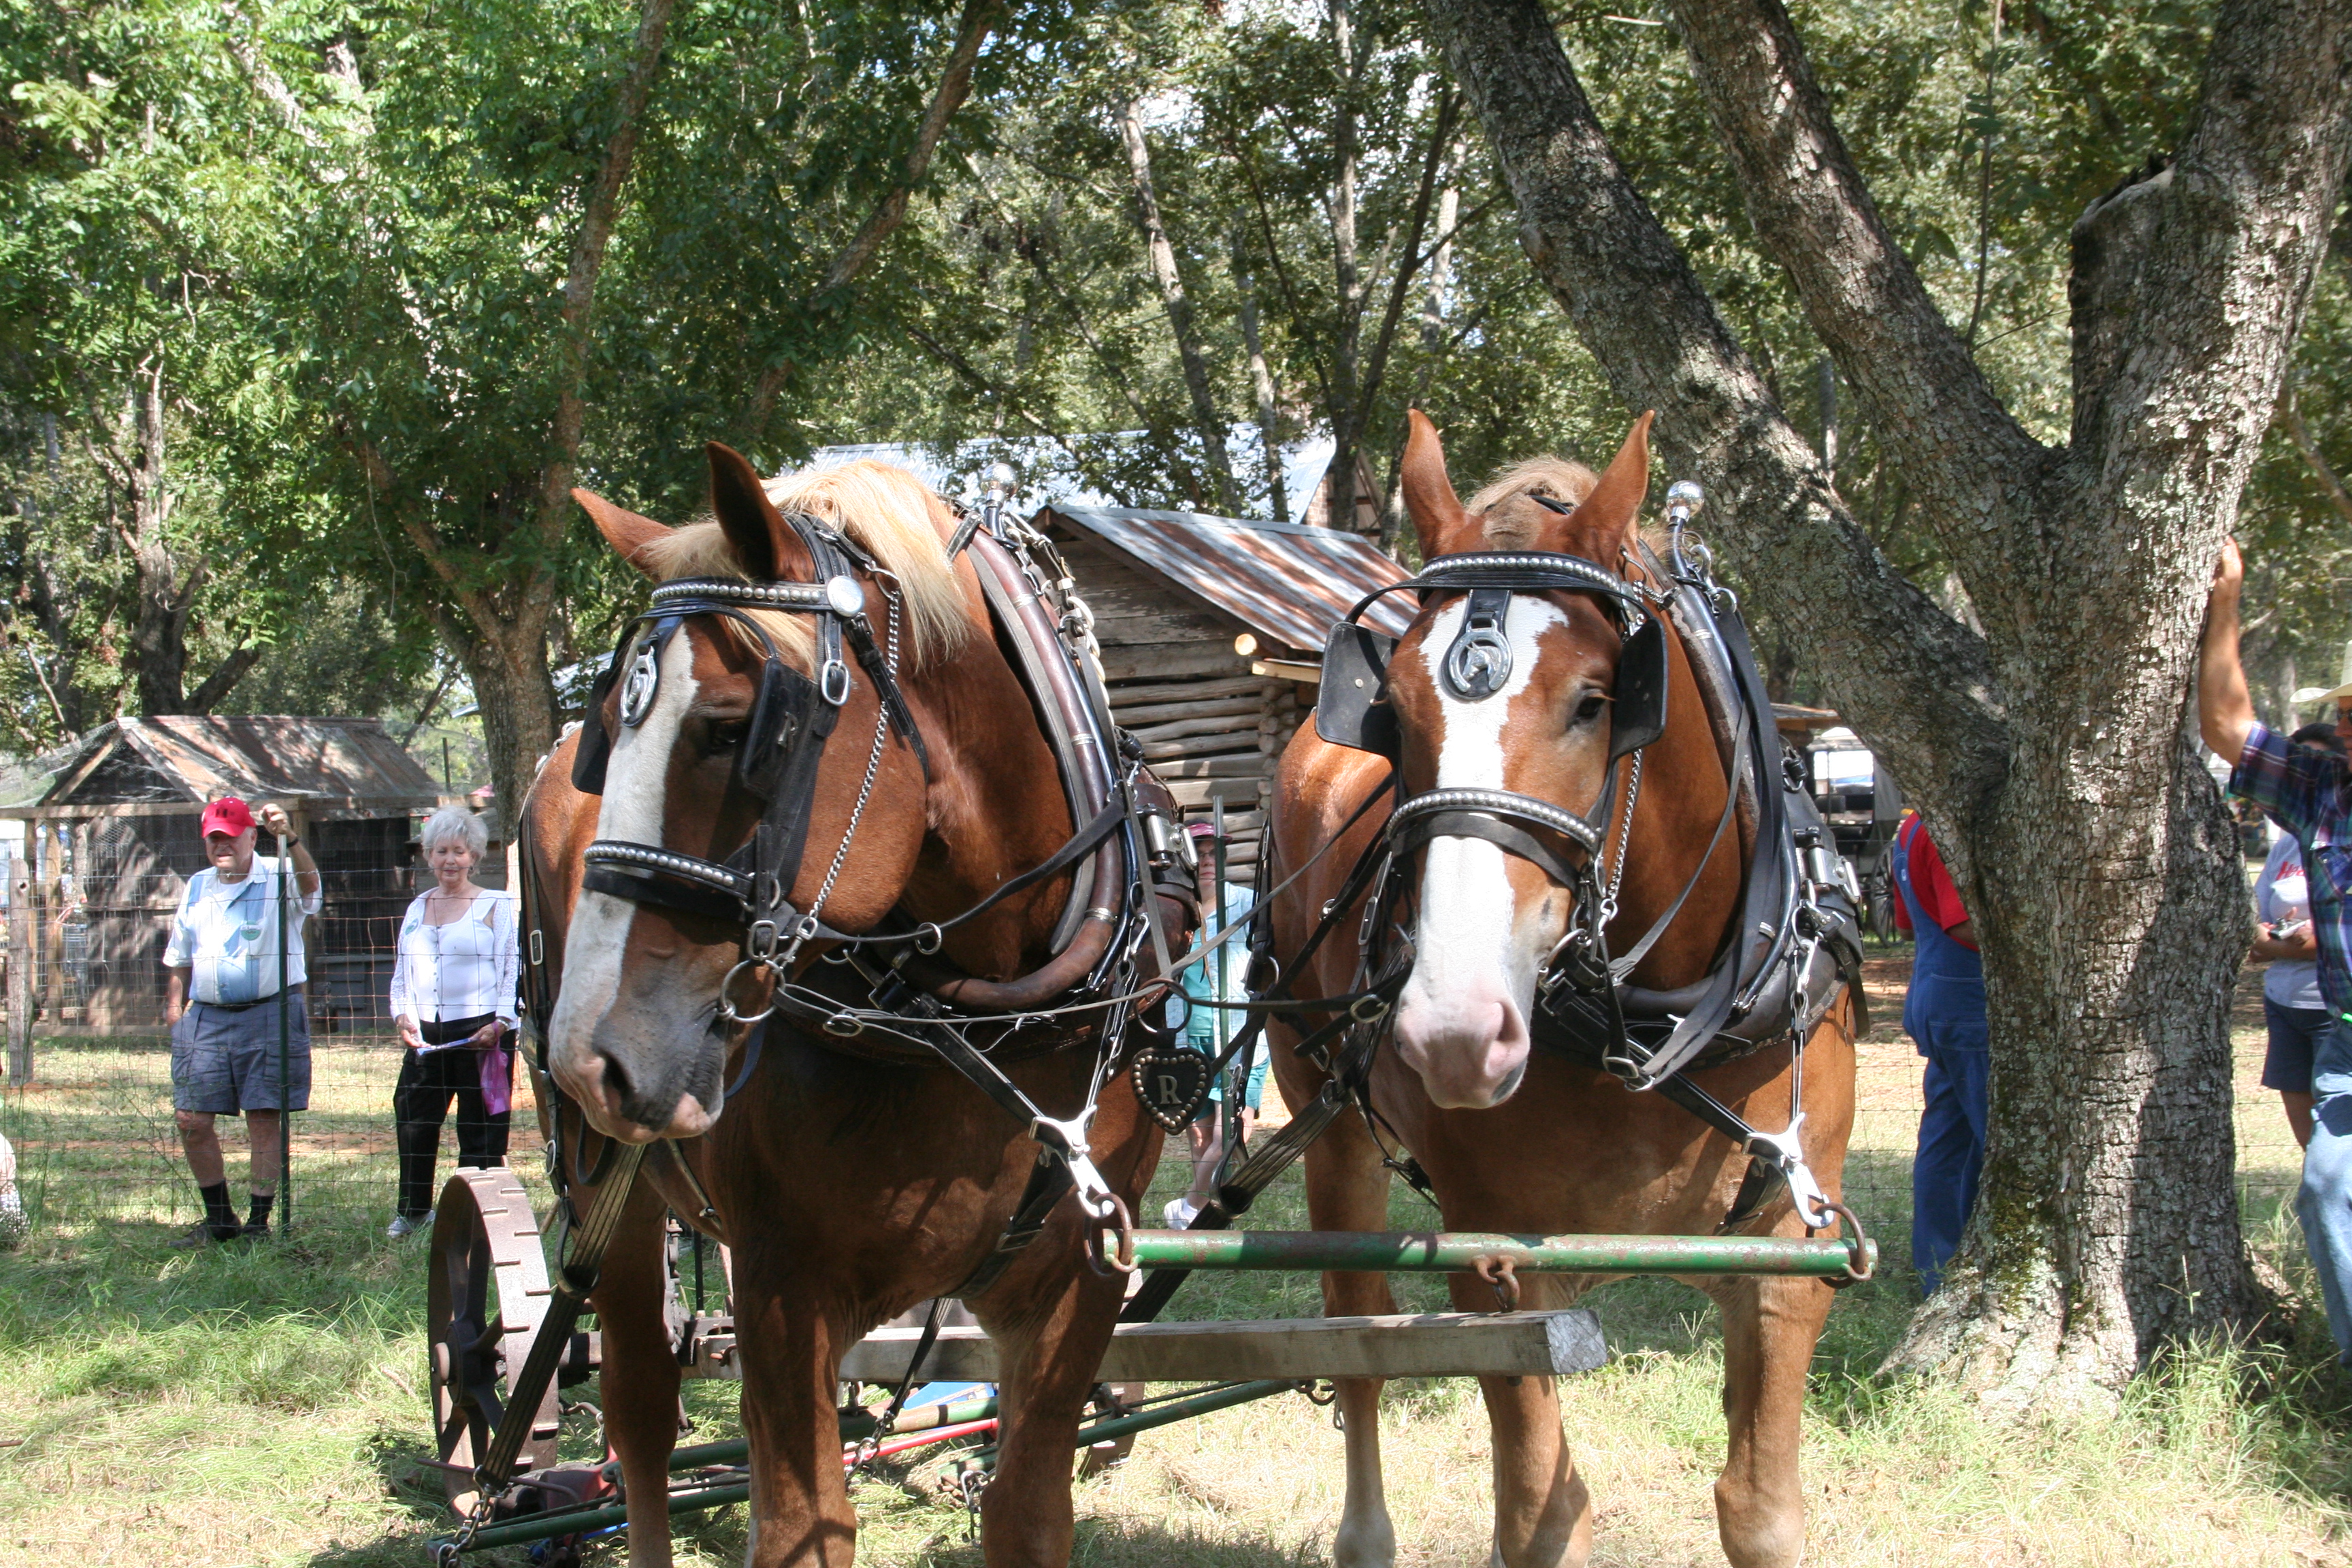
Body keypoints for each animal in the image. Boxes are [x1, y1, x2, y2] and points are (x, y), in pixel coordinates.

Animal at [524, 443, 1176, 1567]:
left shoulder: (1076, 1288)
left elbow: (1027, 1510)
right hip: (610, 1183)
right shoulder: (782, 1289)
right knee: (641, 1413)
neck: (989, 1018)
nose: (591, 1058)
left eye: (732, 733)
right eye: (609, 735)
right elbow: (804, 1527)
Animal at [1265, 411, 1859, 1568]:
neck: (1660, 1026)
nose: (1456, 1033)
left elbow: (1759, 1511)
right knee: (1357, 1330)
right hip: (1330, 1123)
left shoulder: (1786, 1256)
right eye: (1394, 712)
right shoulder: (1500, 1274)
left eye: (1597, 702)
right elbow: (1543, 1512)